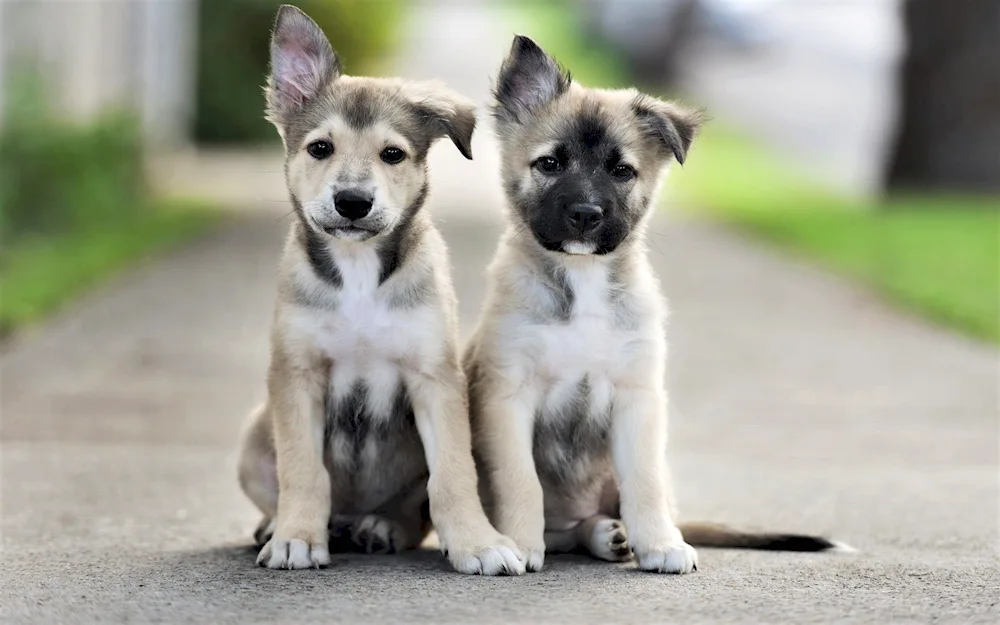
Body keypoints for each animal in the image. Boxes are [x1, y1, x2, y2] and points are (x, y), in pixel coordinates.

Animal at [238, 4, 528, 576]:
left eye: (393, 154)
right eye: (320, 148)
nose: (353, 202)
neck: (359, 275)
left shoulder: (435, 376)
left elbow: (453, 475)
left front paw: (478, 544)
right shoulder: (297, 374)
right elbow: (303, 469)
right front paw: (296, 537)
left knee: (413, 510)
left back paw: (381, 526)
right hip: (255, 435)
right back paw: (283, 524)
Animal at [464, 36, 848, 576]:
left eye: (622, 171)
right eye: (550, 164)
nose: (585, 215)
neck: (582, 282)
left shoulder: (637, 398)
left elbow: (644, 484)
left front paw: (661, 545)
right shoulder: (507, 395)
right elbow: (520, 481)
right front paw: (518, 544)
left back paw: (613, 535)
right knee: (560, 532)